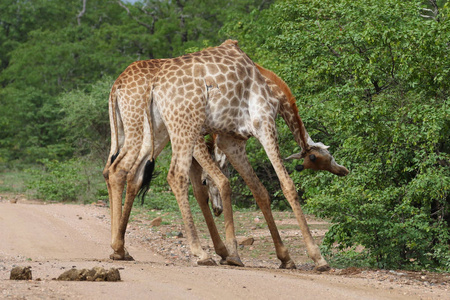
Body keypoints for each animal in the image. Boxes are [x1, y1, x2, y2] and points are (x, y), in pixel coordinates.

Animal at [202, 63, 350, 270]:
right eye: (326, 158)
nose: (343, 171)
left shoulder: (232, 141)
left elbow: (259, 192)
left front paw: (284, 257)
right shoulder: (254, 130)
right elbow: (286, 185)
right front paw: (318, 258)